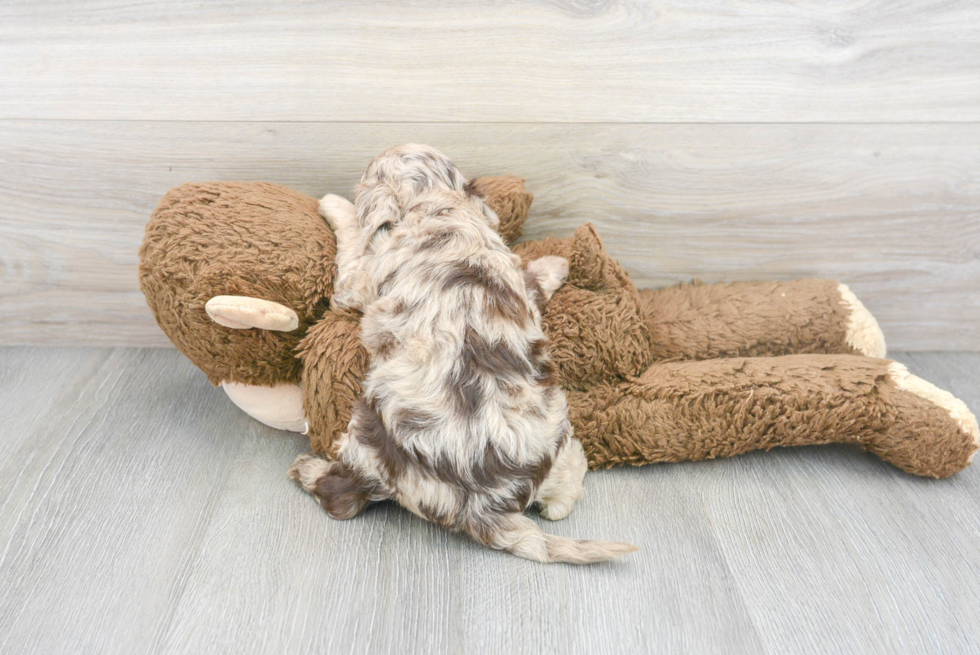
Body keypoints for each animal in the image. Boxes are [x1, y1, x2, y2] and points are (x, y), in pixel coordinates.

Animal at [288, 146, 640, 568]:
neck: (441, 207)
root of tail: (485, 508)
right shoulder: (513, 271)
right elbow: (533, 278)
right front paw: (557, 265)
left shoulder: (354, 282)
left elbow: (354, 240)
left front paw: (333, 203)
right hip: (561, 439)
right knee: (565, 489)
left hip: (370, 437)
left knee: (342, 497)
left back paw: (307, 470)